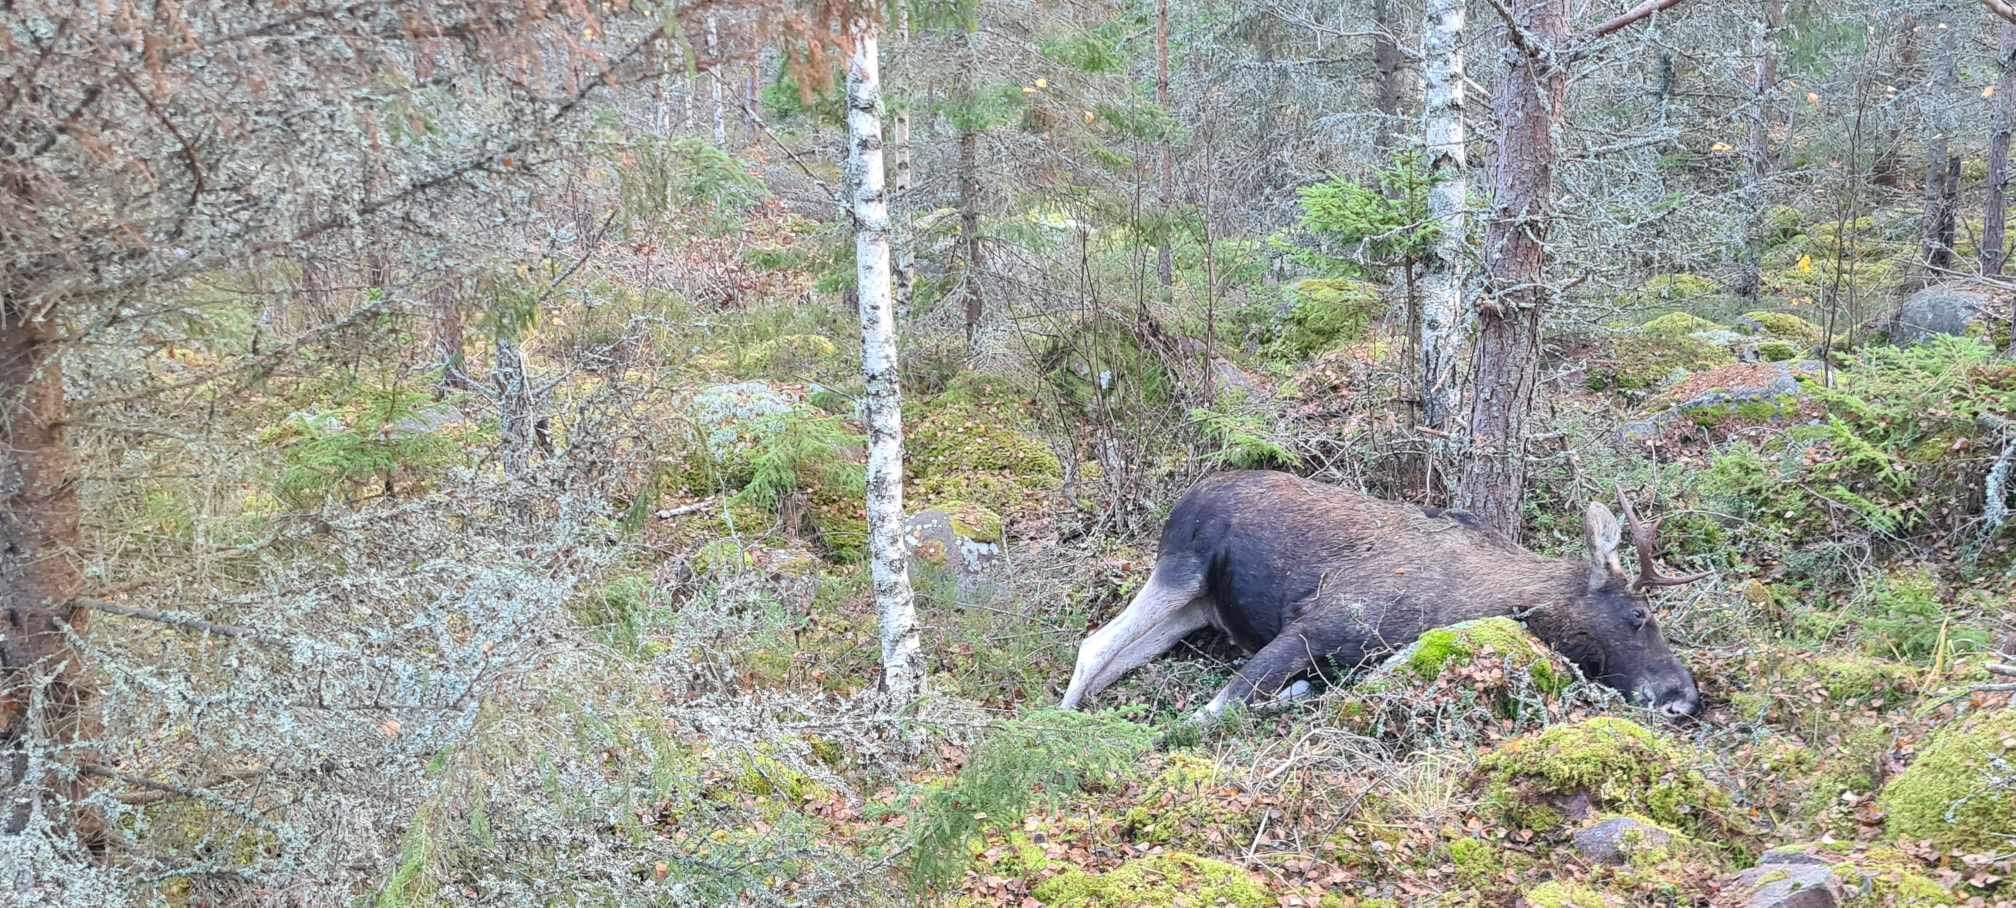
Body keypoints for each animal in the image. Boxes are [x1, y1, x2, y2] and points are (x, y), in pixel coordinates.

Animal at [1064, 472, 1709, 718]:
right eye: (1638, 613)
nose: (1686, 696)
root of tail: (1186, 492)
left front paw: (1297, 694)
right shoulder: (1312, 626)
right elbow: (1209, 713)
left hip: (1199, 607)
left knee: (1117, 654)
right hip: (1181, 566)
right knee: (1093, 646)